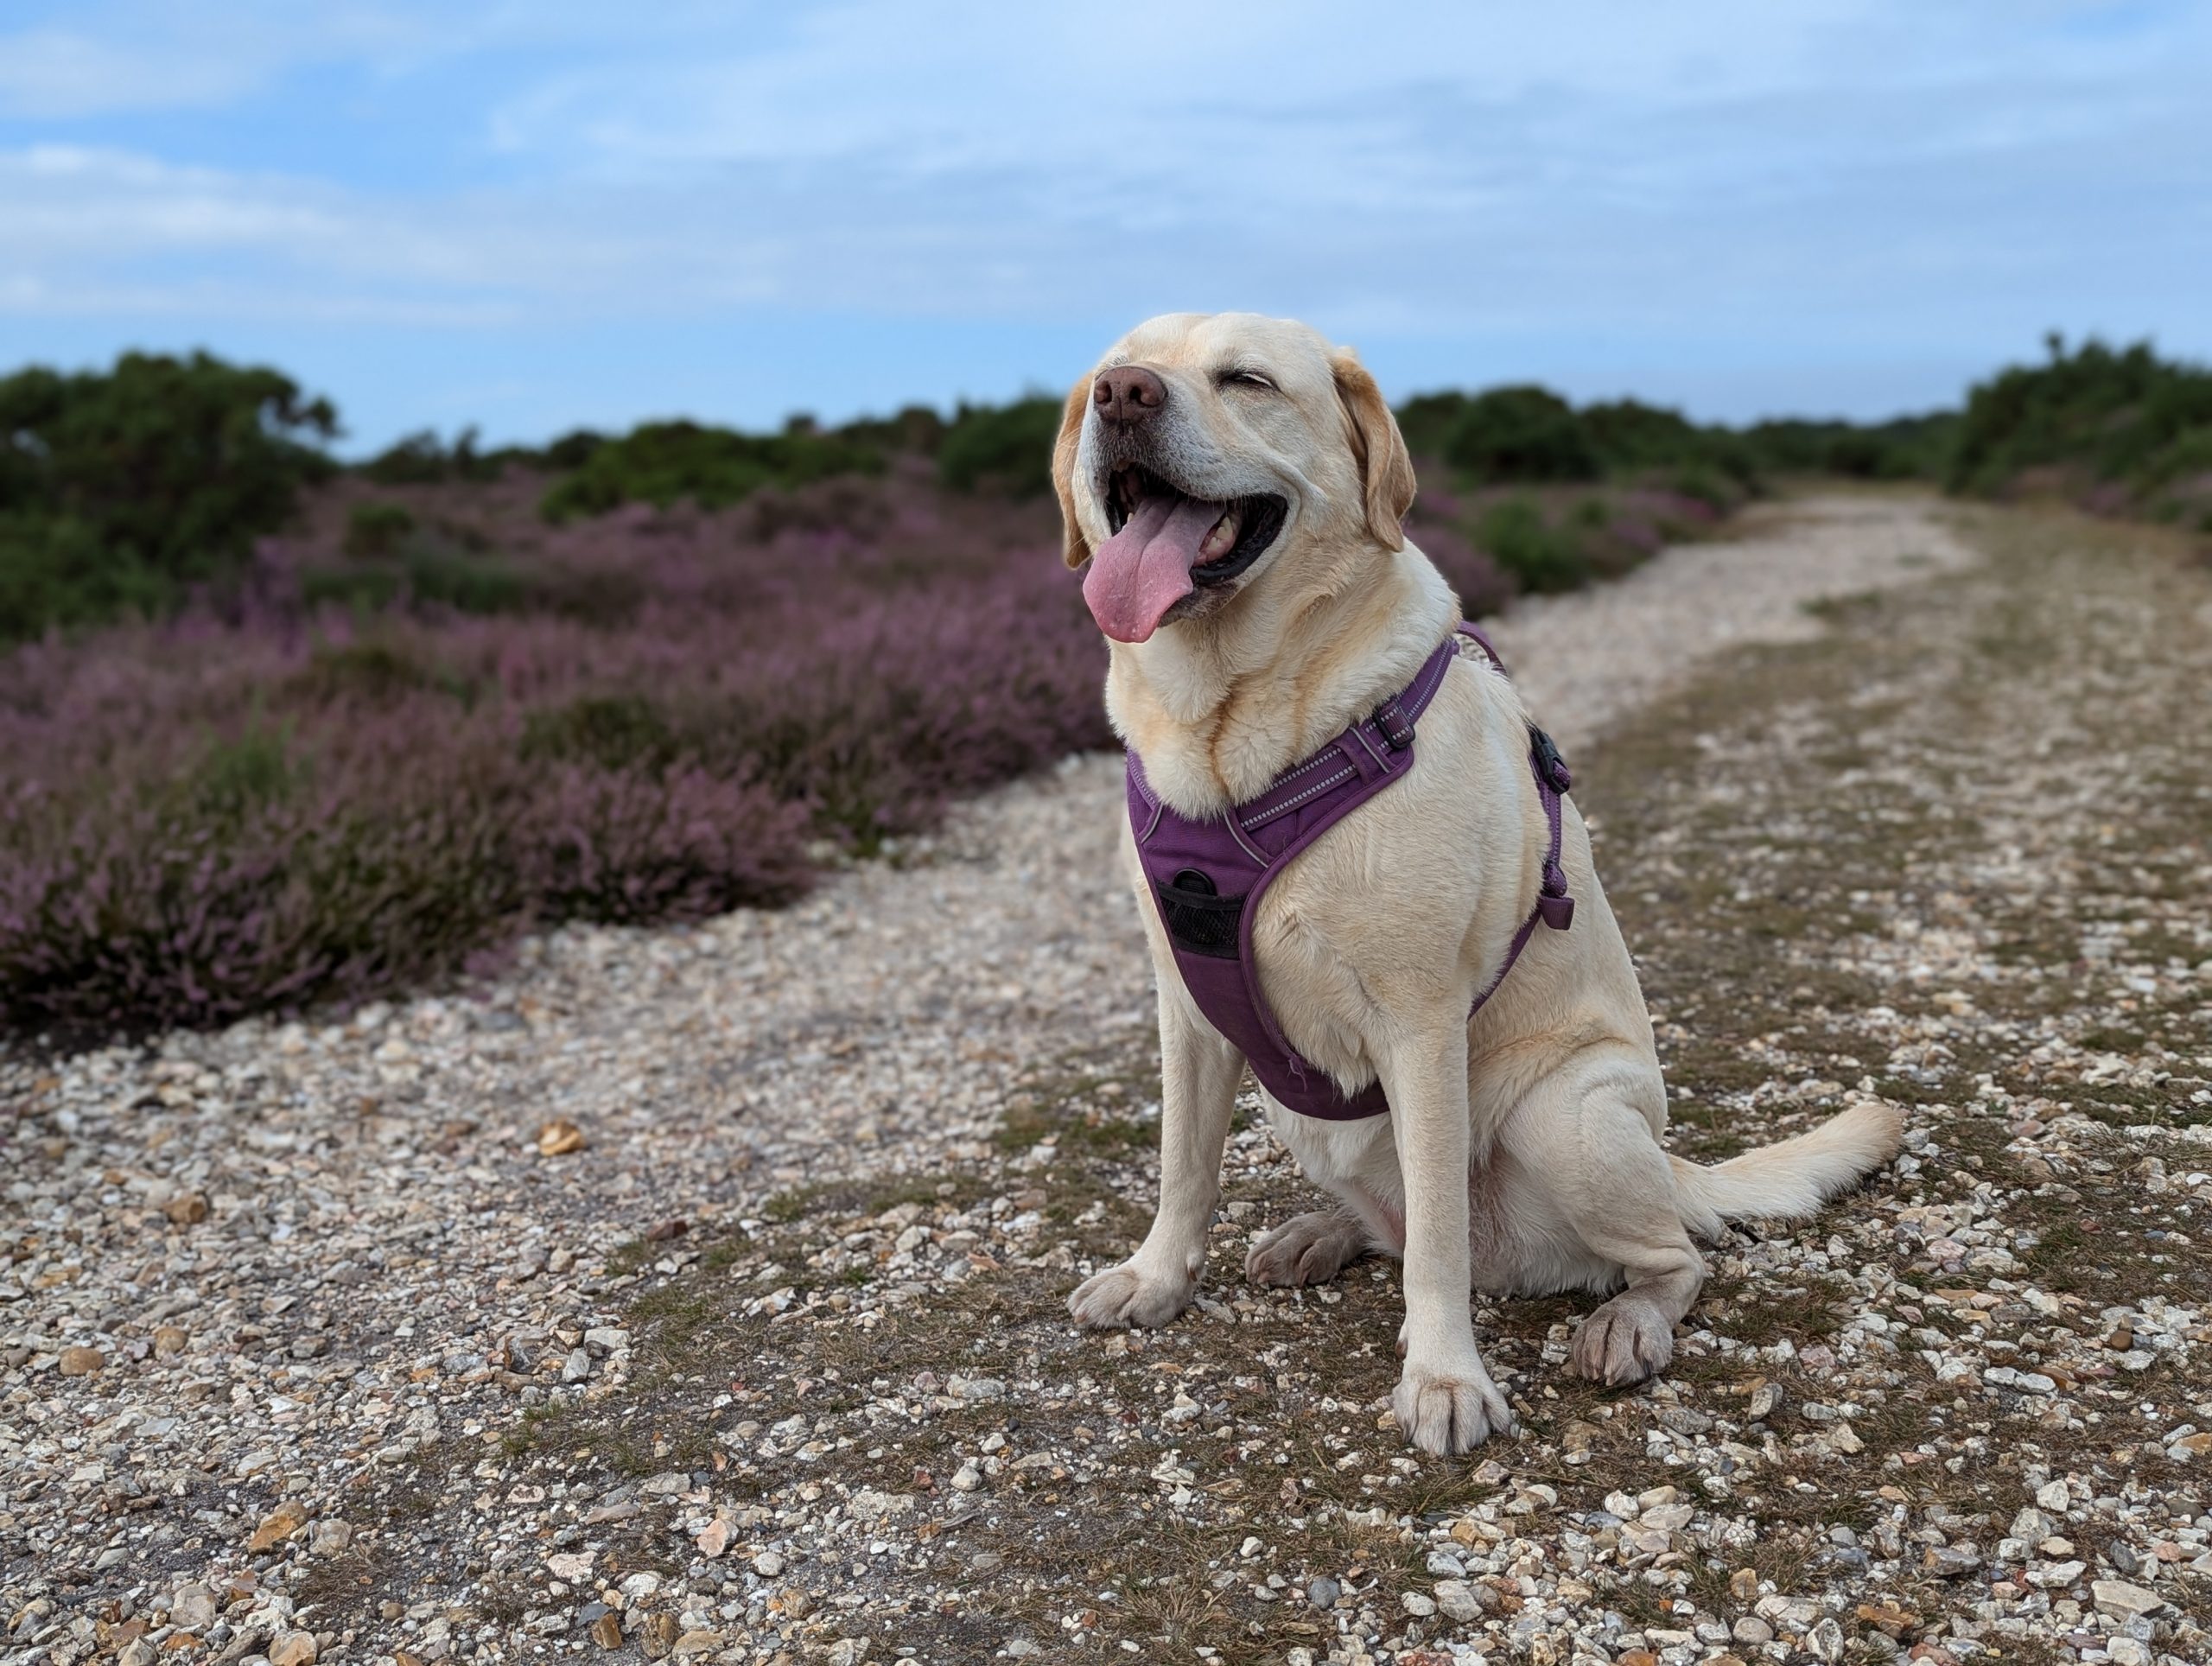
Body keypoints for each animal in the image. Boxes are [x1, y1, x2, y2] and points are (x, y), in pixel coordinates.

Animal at [1052, 314, 1902, 1451]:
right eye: (1113, 370)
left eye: (1246, 379)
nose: (1124, 396)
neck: (1235, 740)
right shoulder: (1187, 1009)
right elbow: (1183, 1166)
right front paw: (1154, 1278)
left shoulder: (1420, 1024)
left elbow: (1438, 1247)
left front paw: (1445, 1377)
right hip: (1309, 1117)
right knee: (1393, 1224)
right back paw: (1320, 1232)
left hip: (1570, 1115)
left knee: (1667, 1255)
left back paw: (1628, 1321)